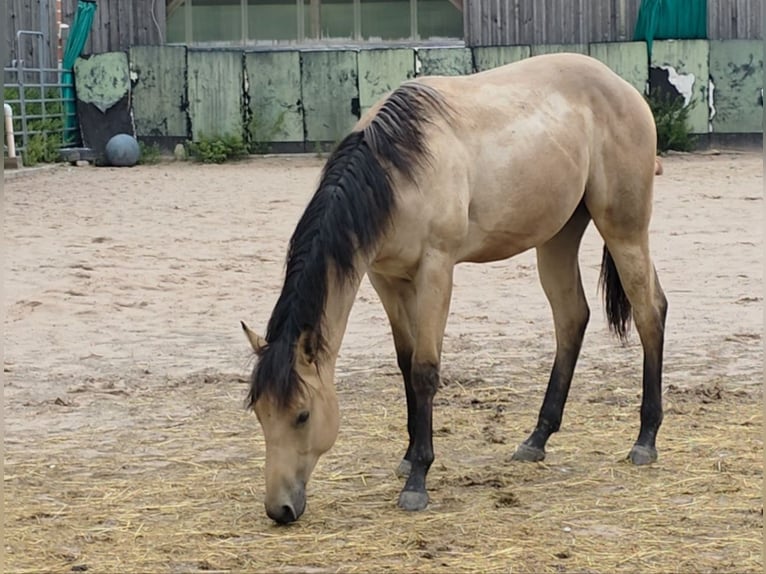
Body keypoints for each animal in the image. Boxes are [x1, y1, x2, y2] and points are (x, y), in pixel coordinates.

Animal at [241, 53, 668, 525]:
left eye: (302, 415)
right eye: (260, 412)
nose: (280, 508)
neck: (396, 169)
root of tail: (621, 87)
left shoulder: (436, 269)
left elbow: (425, 370)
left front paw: (417, 481)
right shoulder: (385, 278)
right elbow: (405, 363)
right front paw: (408, 455)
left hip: (625, 229)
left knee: (650, 312)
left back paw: (645, 439)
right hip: (557, 237)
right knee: (572, 319)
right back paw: (537, 439)